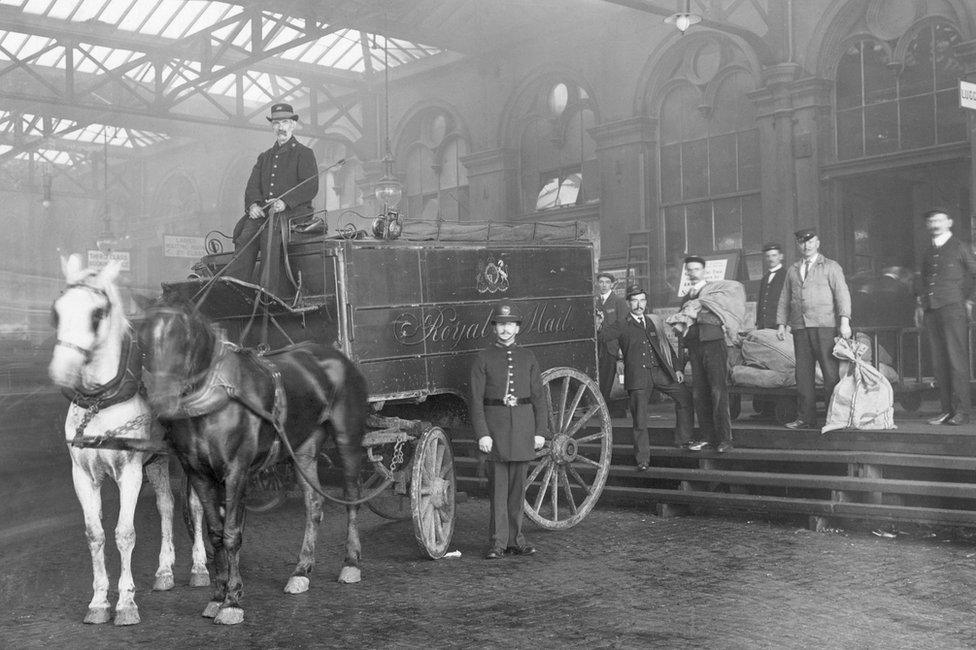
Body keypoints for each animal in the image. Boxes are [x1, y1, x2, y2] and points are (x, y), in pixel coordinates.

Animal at [48, 254, 209, 624]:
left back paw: (199, 567)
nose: (62, 371)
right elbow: (95, 535)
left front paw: (125, 603)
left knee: (194, 505)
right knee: (166, 505)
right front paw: (98, 602)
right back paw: (164, 571)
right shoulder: (83, 475)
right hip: (158, 460)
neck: (99, 403)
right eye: (57, 311)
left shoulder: (129, 472)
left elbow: (124, 533)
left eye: (97, 313)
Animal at [138, 298, 366, 624]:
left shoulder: (237, 472)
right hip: (303, 449)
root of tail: (338, 356)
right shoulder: (199, 474)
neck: (215, 400)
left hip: (348, 438)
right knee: (314, 505)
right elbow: (215, 534)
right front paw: (217, 596)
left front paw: (232, 601)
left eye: (182, 342)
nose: (161, 403)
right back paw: (301, 570)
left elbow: (232, 534)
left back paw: (351, 563)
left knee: (352, 498)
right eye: (142, 344)